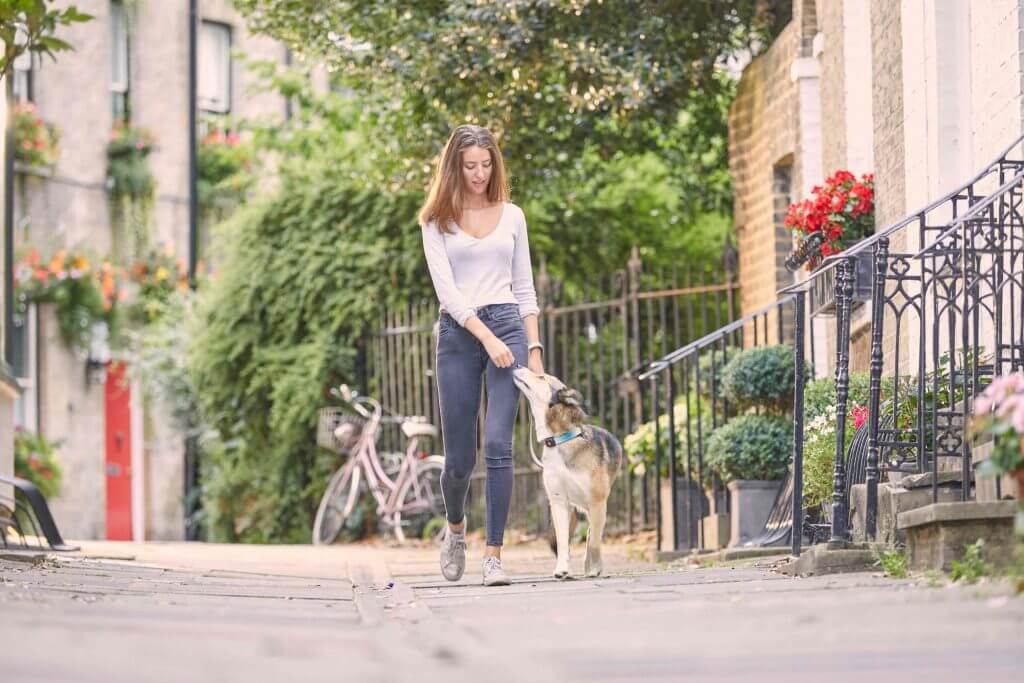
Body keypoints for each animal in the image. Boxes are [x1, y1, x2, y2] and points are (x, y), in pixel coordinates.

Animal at [512, 368, 622, 577]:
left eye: (541, 377)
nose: (517, 366)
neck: (559, 440)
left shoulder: (597, 502)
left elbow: (594, 541)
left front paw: (595, 569)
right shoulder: (559, 502)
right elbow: (563, 541)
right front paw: (561, 569)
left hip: (596, 507)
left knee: (593, 536)